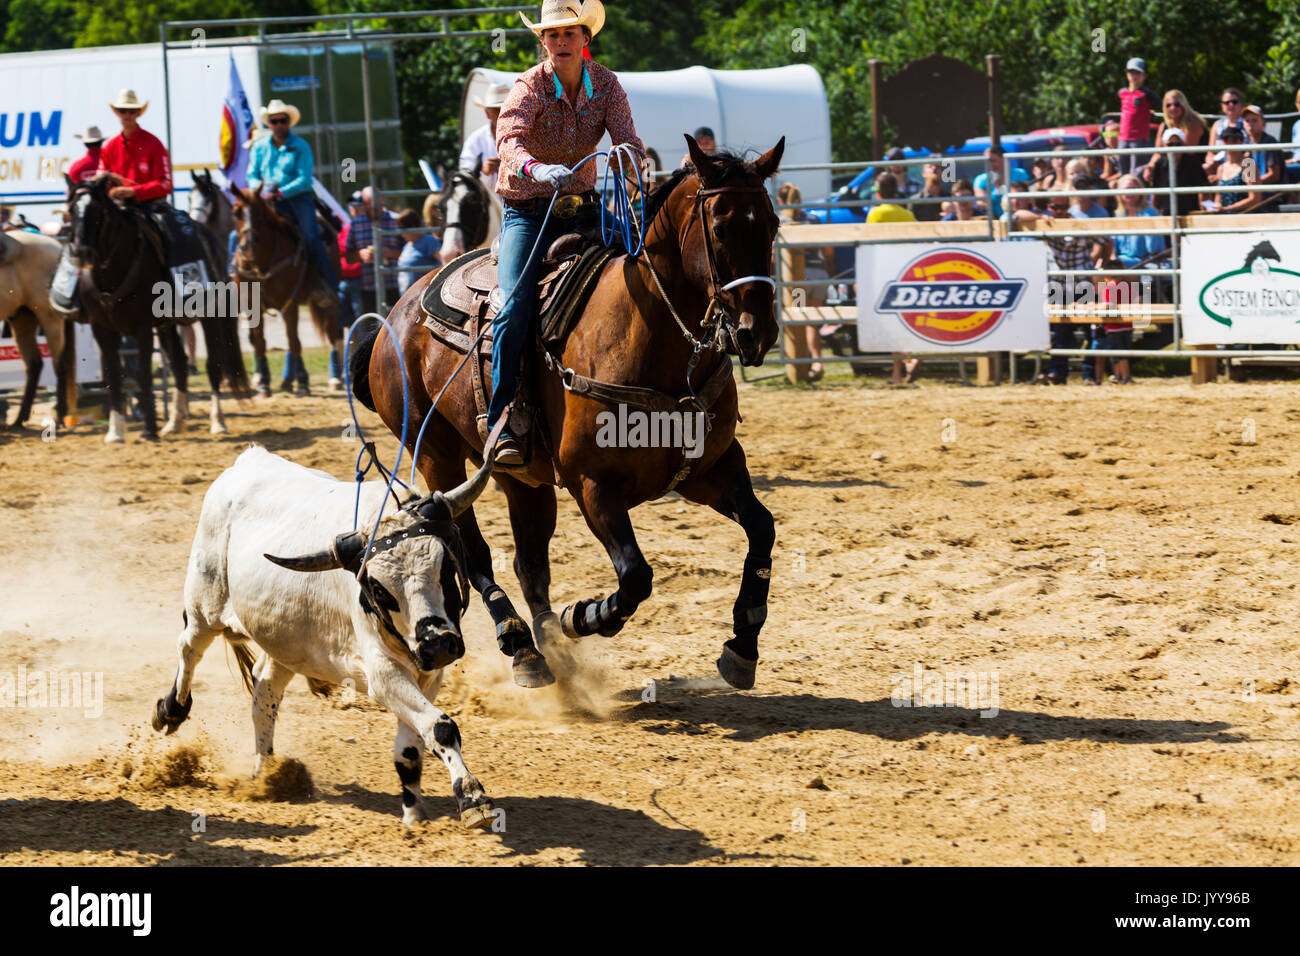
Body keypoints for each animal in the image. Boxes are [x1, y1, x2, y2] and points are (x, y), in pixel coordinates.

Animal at [65, 174, 249, 442]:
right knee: (180, 365)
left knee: (213, 366)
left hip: (211, 317)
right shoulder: (102, 329)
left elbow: (143, 375)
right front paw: (115, 431)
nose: (82, 253)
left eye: (97, 210)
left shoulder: (142, 328)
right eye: (71, 209)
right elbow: (113, 376)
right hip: (167, 325)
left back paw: (218, 422)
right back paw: (174, 422)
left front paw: (148, 430)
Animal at [233, 188, 343, 398]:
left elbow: (294, 342)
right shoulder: (252, 306)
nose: (247, 250)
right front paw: (264, 384)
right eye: (236, 213)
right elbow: (260, 343)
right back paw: (286, 381)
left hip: (328, 300)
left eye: (259, 214)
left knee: (333, 332)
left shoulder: (289, 302)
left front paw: (303, 383)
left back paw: (336, 378)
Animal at [351, 136, 785, 686]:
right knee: (474, 552)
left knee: (529, 561)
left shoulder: (711, 468)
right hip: (435, 455)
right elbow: (636, 575)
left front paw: (742, 645)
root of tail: (394, 315)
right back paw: (521, 644)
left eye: (772, 223)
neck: (650, 343)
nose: (756, 332)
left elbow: (762, 529)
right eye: (722, 227)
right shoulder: (592, 485)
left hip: (522, 477)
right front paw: (585, 616)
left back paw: (545, 643)